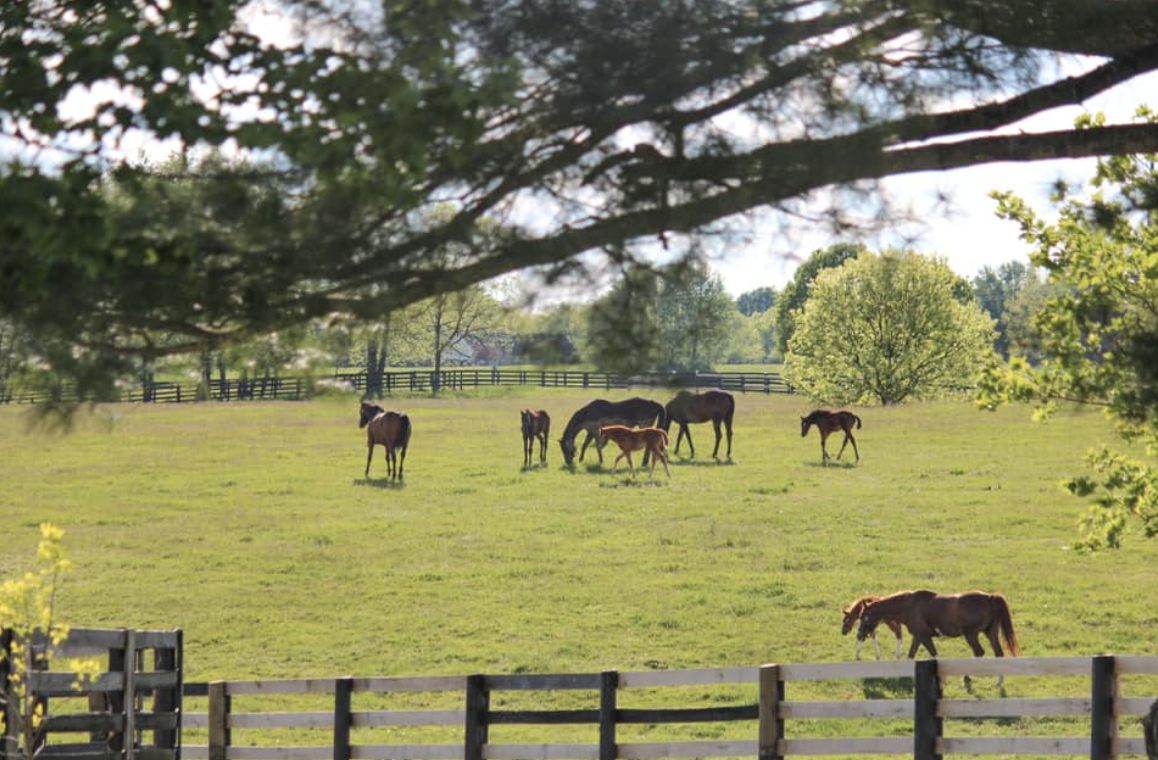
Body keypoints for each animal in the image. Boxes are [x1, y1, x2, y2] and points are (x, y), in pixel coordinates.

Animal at [852, 588, 1023, 690]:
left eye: (865, 617)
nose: (859, 635)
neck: (909, 606)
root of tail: (989, 597)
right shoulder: (918, 637)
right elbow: (910, 656)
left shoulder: (924, 637)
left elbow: (934, 655)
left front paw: (943, 680)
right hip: (990, 633)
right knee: (998, 653)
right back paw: (999, 681)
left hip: (971, 634)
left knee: (979, 652)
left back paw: (968, 678)